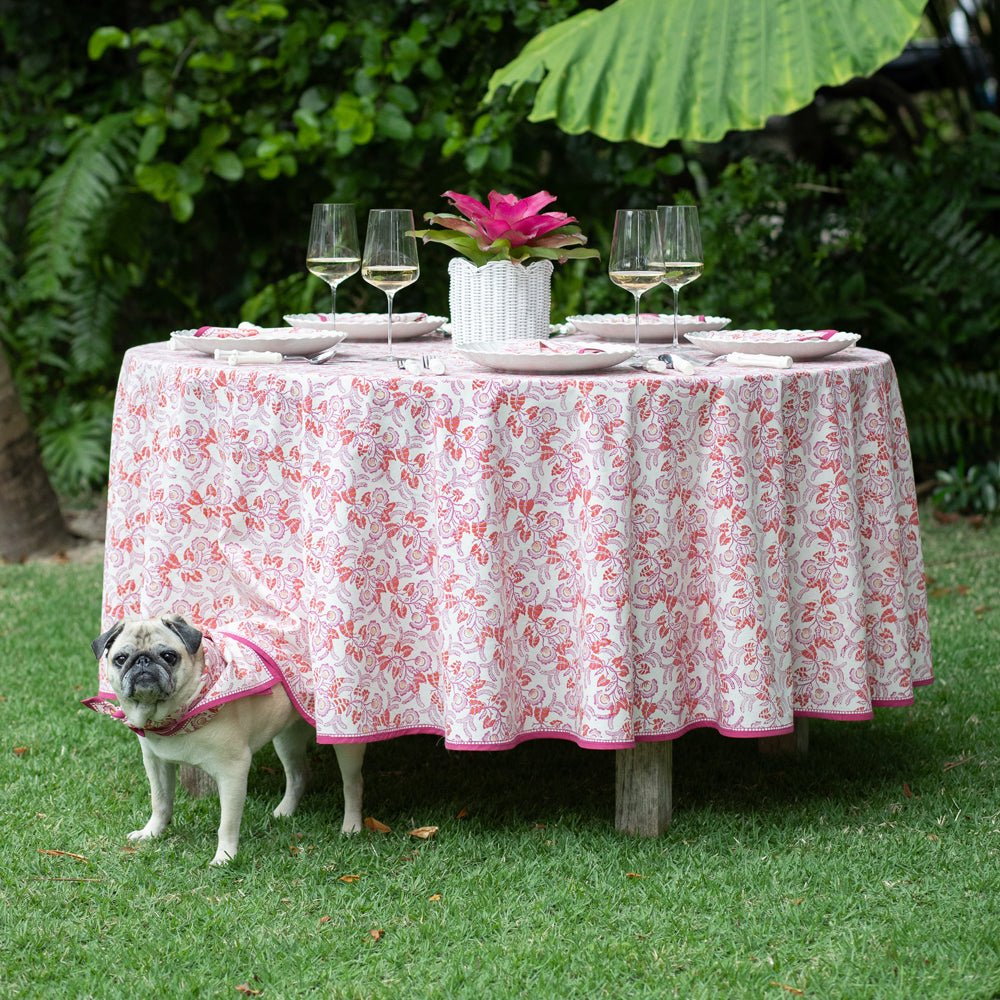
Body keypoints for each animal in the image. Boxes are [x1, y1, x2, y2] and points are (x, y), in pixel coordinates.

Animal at [90, 612, 368, 864]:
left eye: (169, 656)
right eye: (121, 659)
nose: (143, 662)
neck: (178, 713)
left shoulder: (233, 771)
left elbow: (228, 822)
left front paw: (224, 857)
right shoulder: (156, 763)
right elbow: (160, 802)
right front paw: (152, 833)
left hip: (346, 742)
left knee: (353, 783)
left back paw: (351, 827)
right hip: (286, 739)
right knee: (299, 775)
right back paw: (284, 812)